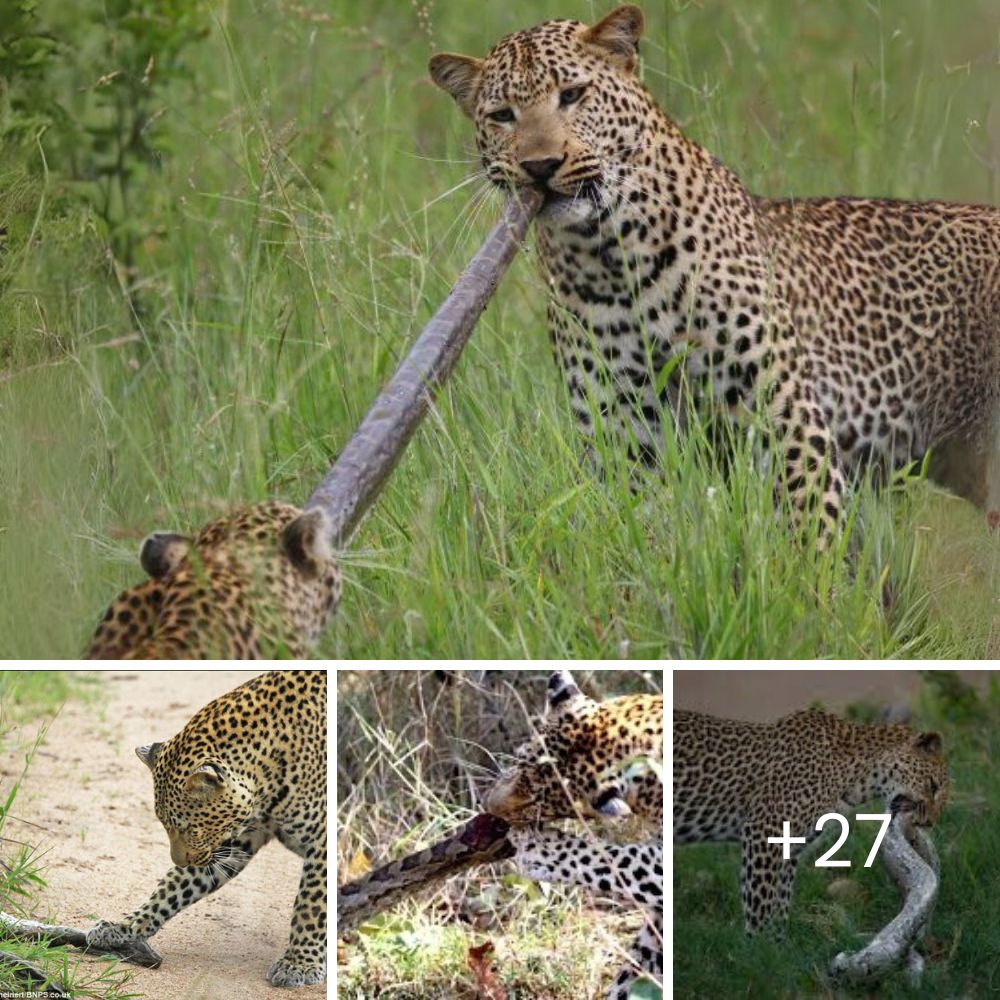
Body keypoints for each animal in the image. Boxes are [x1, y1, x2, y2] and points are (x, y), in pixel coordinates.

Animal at [86, 668, 328, 988]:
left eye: (190, 828)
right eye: (164, 824)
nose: (178, 859)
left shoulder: (322, 843)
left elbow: (311, 902)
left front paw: (299, 964)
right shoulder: (234, 843)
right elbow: (172, 889)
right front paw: (123, 927)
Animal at [430, 3, 1000, 536]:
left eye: (572, 95)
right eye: (503, 115)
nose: (541, 165)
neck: (608, 257)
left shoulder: (782, 414)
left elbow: (814, 535)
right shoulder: (626, 436)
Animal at [484, 672, 664, 1000]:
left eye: (539, 801)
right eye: (519, 761)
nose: (488, 807)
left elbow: (617, 859)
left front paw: (537, 849)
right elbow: (635, 968)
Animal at [672, 708, 944, 932]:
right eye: (933, 786)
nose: (928, 823)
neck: (857, 777)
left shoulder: (791, 846)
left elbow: (780, 902)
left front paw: (778, 947)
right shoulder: (764, 831)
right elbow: (759, 902)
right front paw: (756, 950)